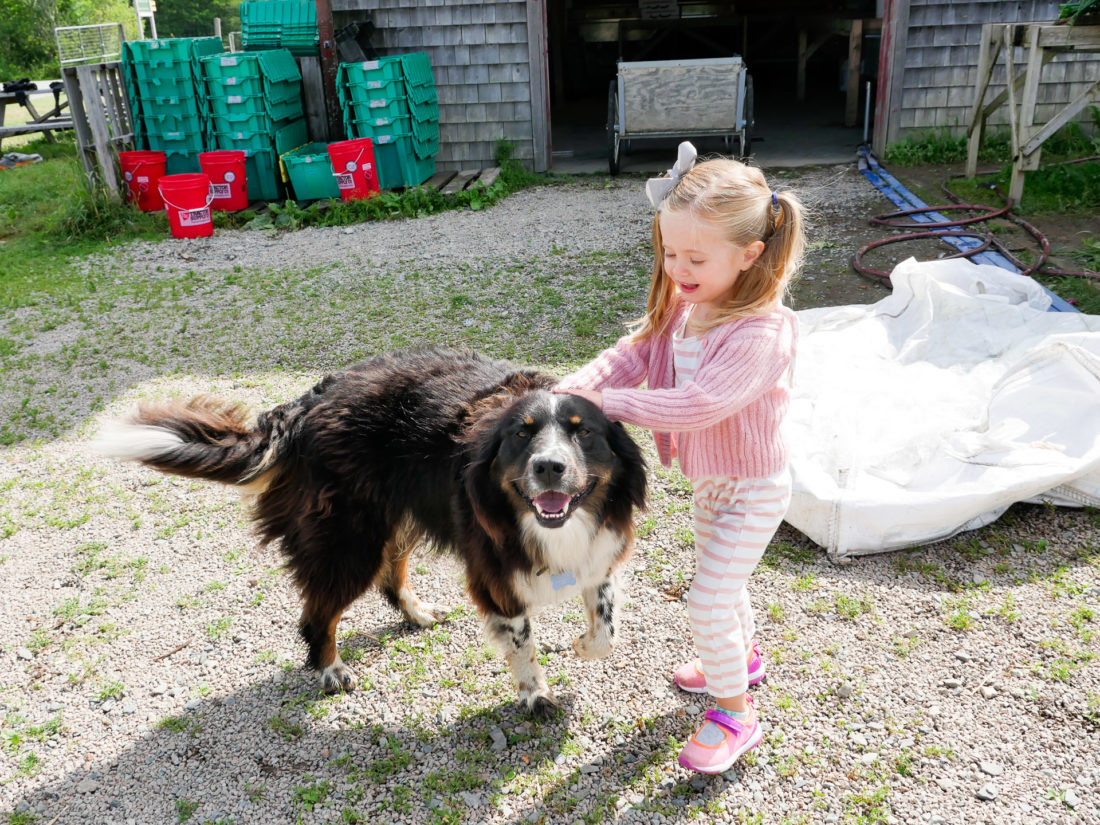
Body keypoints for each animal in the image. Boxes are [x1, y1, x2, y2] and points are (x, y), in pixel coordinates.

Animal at [99, 349, 646, 717]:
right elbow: (522, 643)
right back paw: (329, 668)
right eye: (521, 433)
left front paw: (583, 646)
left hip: (392, 516)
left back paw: (417, 613)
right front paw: (536, 694)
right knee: (318, 613)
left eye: (583, 431)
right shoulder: (494, 576)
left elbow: (607, 628)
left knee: (389, 576)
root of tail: (305, 406)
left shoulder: (599, 555)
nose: (549, 467)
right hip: (349, 541)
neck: (550, 523)